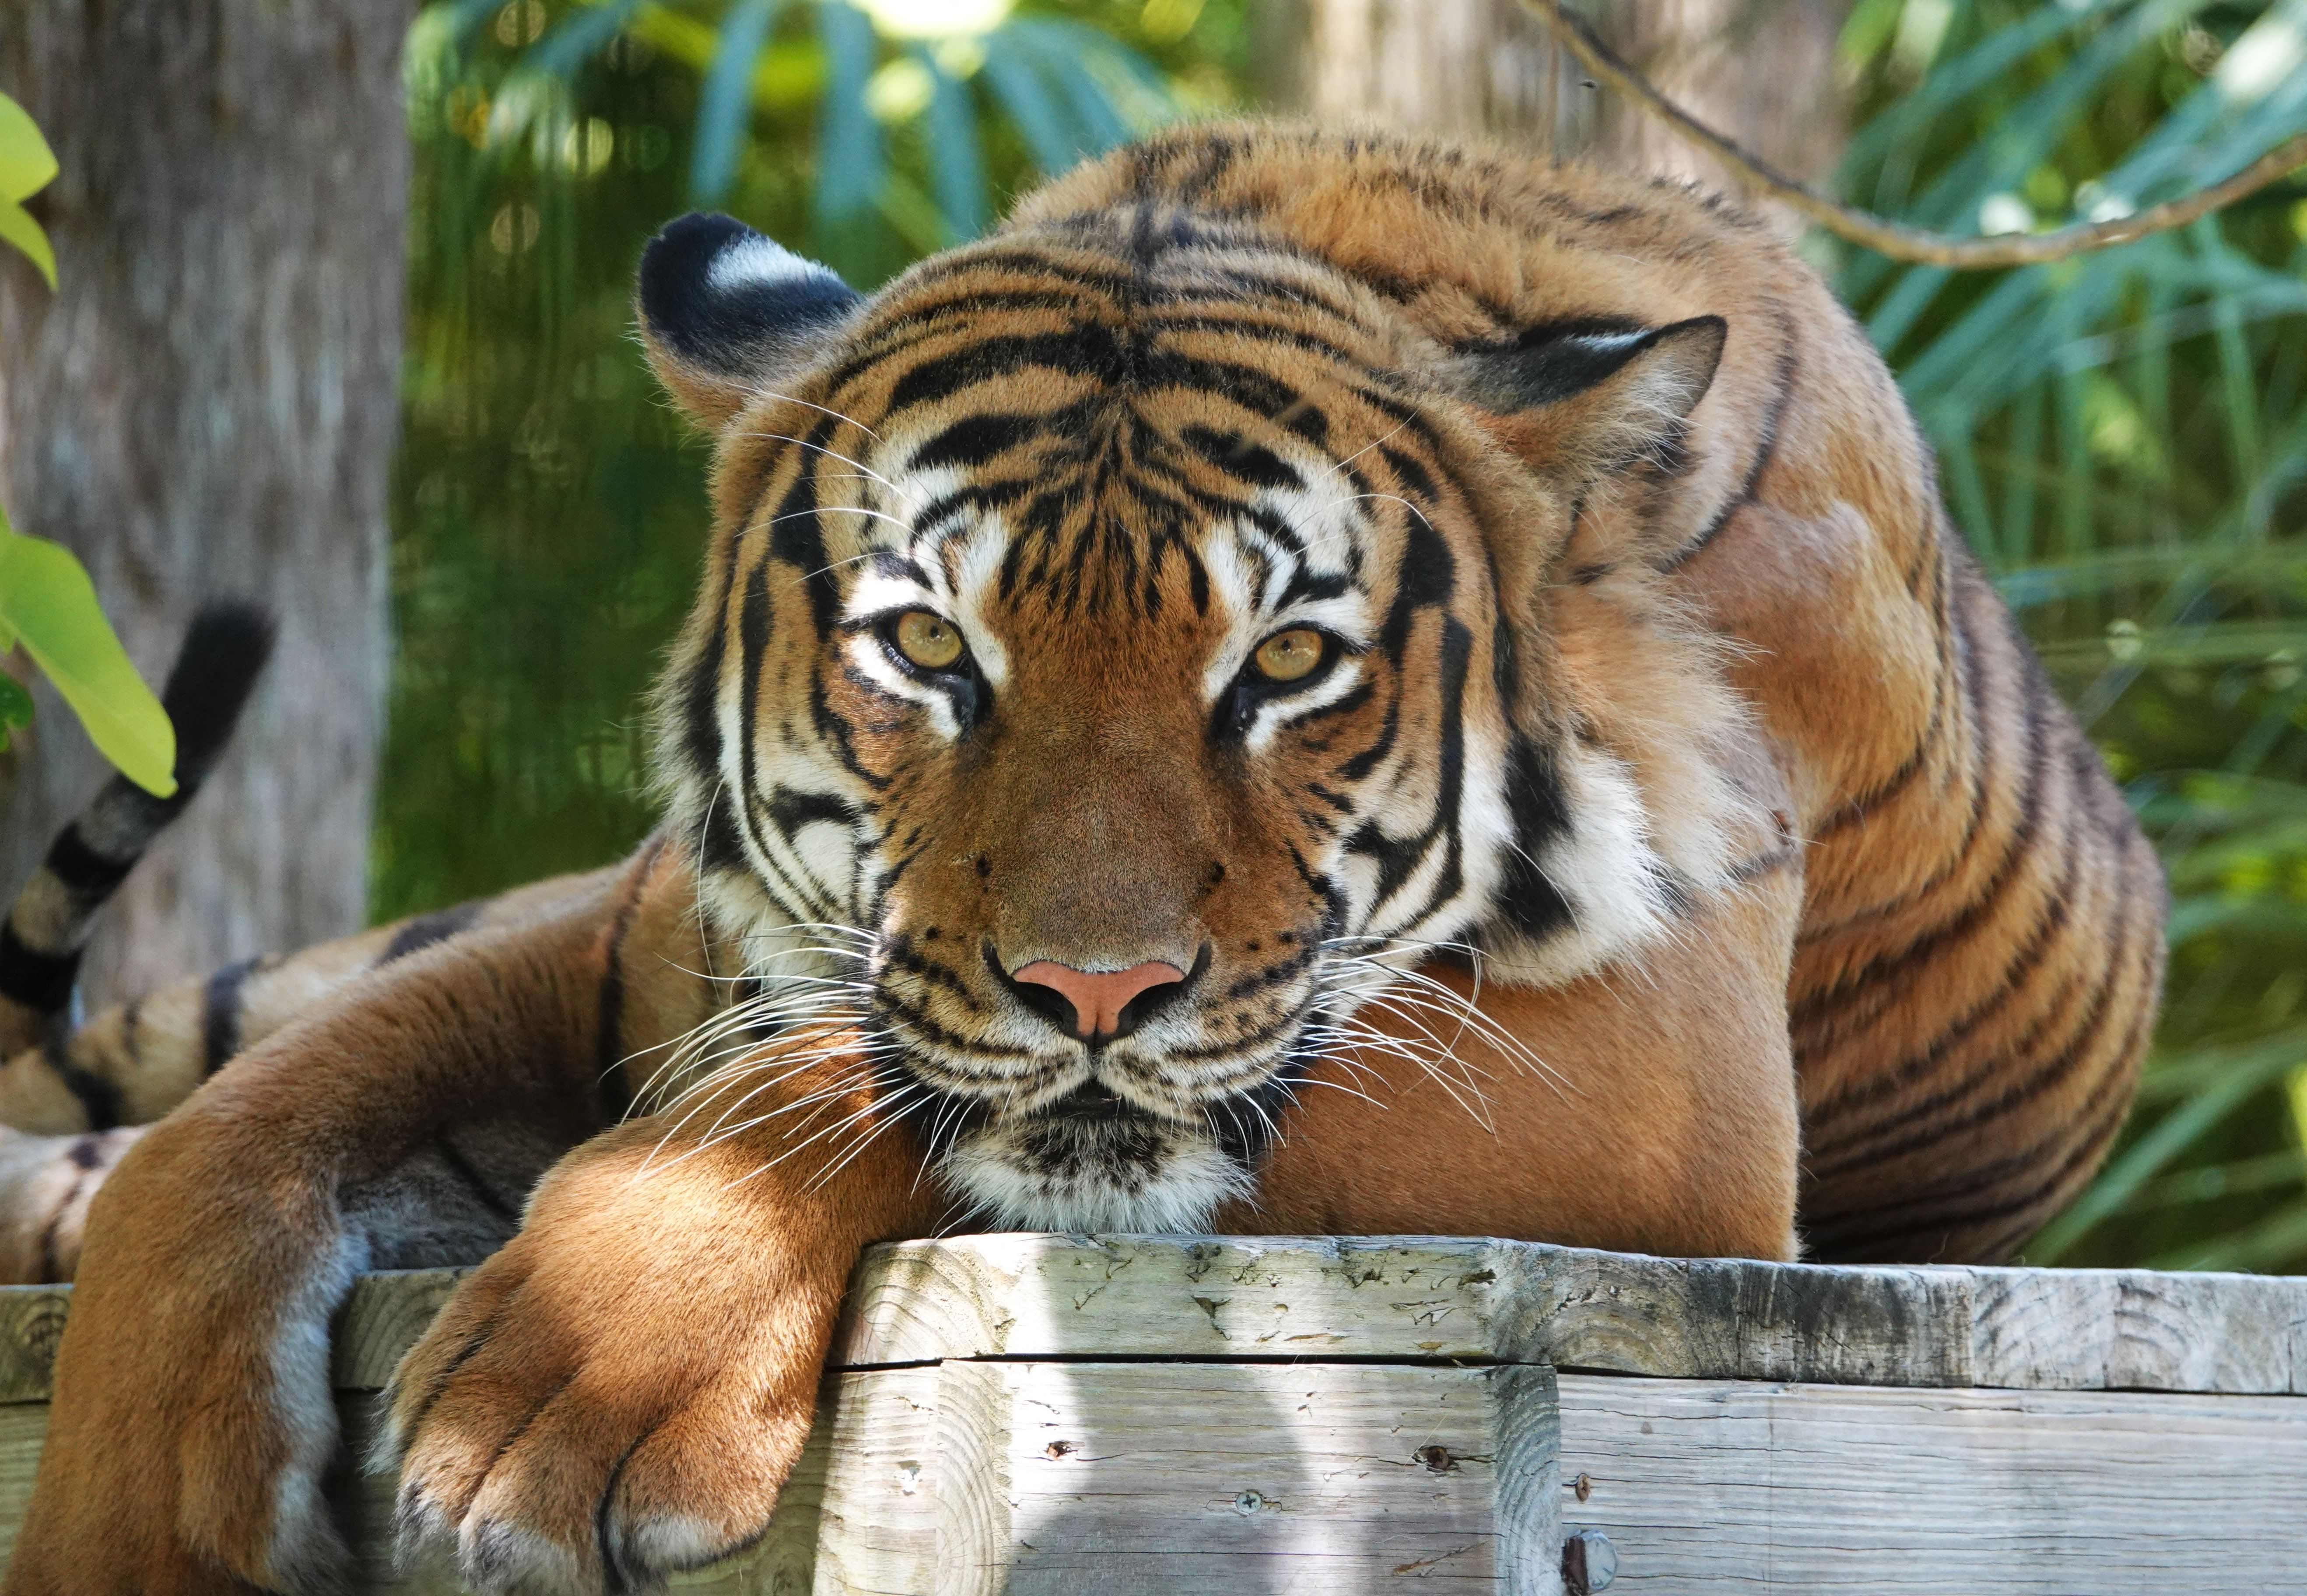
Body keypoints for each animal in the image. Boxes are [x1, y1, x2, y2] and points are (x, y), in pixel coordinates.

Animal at [4, 128, 2159, 1596]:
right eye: (926, 646)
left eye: (1283, 663)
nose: (1096, 993)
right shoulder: (629, 937)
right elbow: (239, 1132)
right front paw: (130, 1509)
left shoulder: (1666, 1091)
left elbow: (820, 1088)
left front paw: (565, 1388)